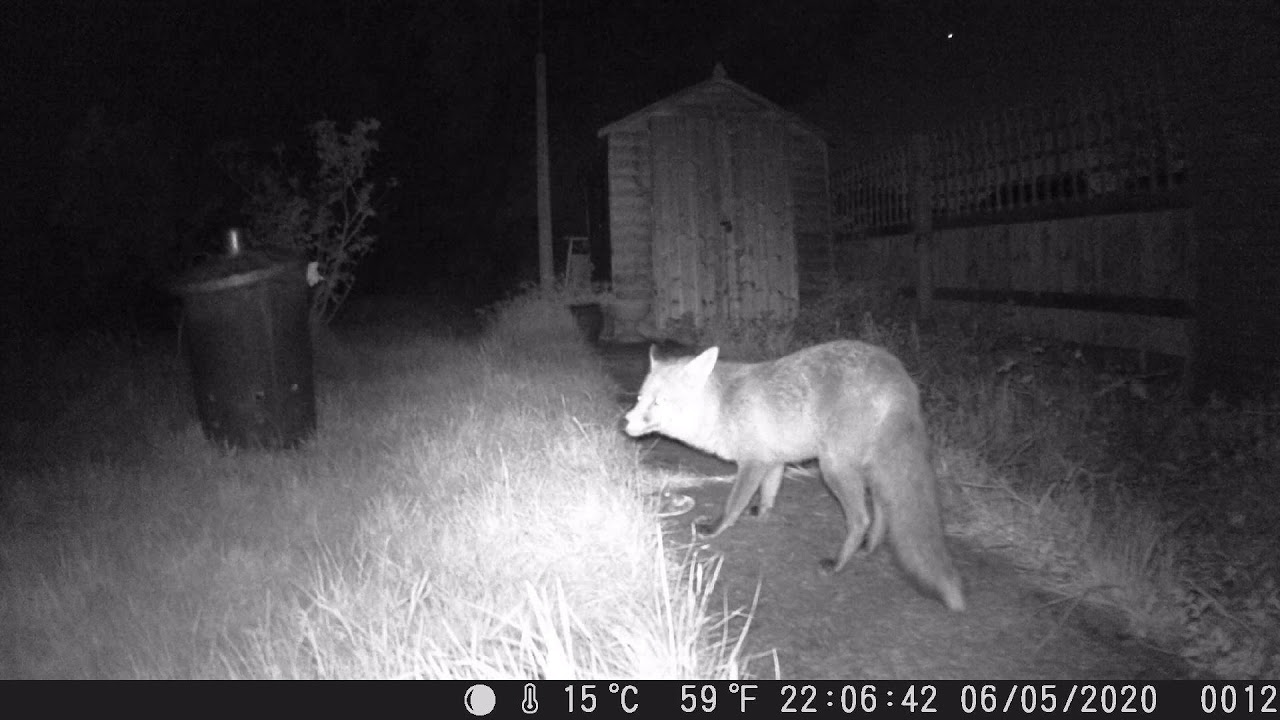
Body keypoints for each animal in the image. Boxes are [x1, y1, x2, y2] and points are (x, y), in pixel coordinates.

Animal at [624, 340, 966, 611]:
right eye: (640, 398)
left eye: (659, 401)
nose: (625, 421)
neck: (722, 408)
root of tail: (899, 373)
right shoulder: (774, 460)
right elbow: (769, 492)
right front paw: (762, 513)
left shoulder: (753, 462)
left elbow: (733, 504)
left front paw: (715, 528)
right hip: (869, 464)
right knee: (882, 506)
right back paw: (870, 547)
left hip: (834, 467)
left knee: (861, 517)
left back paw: (839, 563)